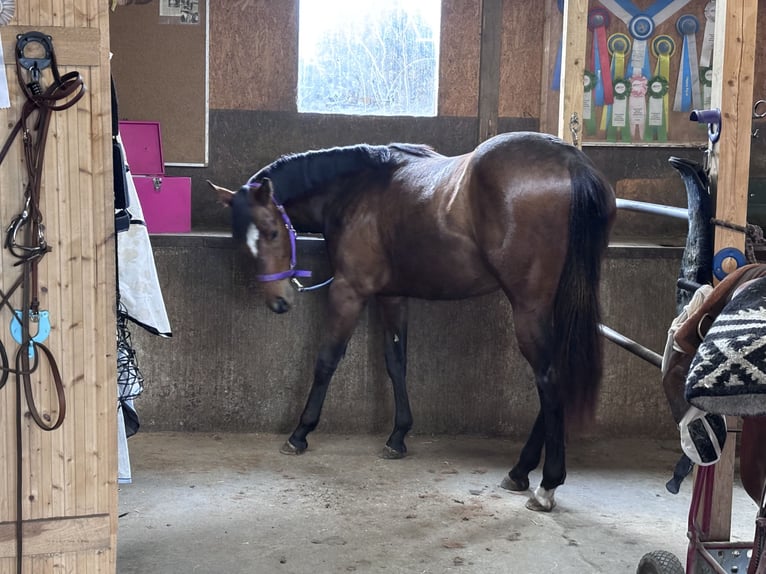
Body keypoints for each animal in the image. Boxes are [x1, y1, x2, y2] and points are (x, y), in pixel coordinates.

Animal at [208, 131, 616, 511]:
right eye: (242, 241)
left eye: (272, 232)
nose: (278, 301)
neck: (358, 190)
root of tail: (571, 162)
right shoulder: (392, 296)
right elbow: (396, 362)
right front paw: (398, 436)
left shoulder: (349, 291)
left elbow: (326, 361)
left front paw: (300, 433)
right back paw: (520, 471)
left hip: (529, 307)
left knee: (549, 379)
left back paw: (547, 484)